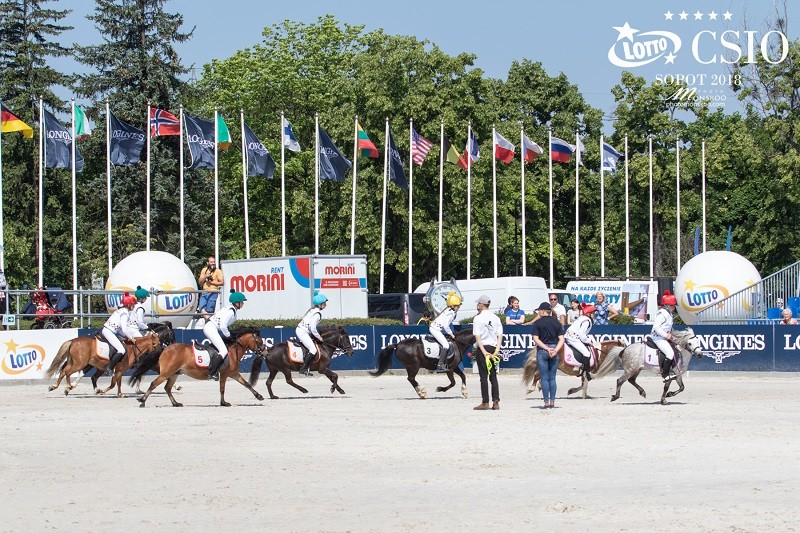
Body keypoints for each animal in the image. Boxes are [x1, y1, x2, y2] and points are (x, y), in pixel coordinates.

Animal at [133, 324, 268, 408]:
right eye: (259, 341)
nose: (265, 353)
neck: (232, 350)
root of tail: (165, 348)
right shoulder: (224, 374)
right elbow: (222, 389)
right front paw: (224, 403)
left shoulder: (233, 373)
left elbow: (247, 384)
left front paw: (259, 396)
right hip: (166, 373)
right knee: (154, 384)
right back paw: (142, 401)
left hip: (174, 373)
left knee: (167, 388)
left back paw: (176, 403)